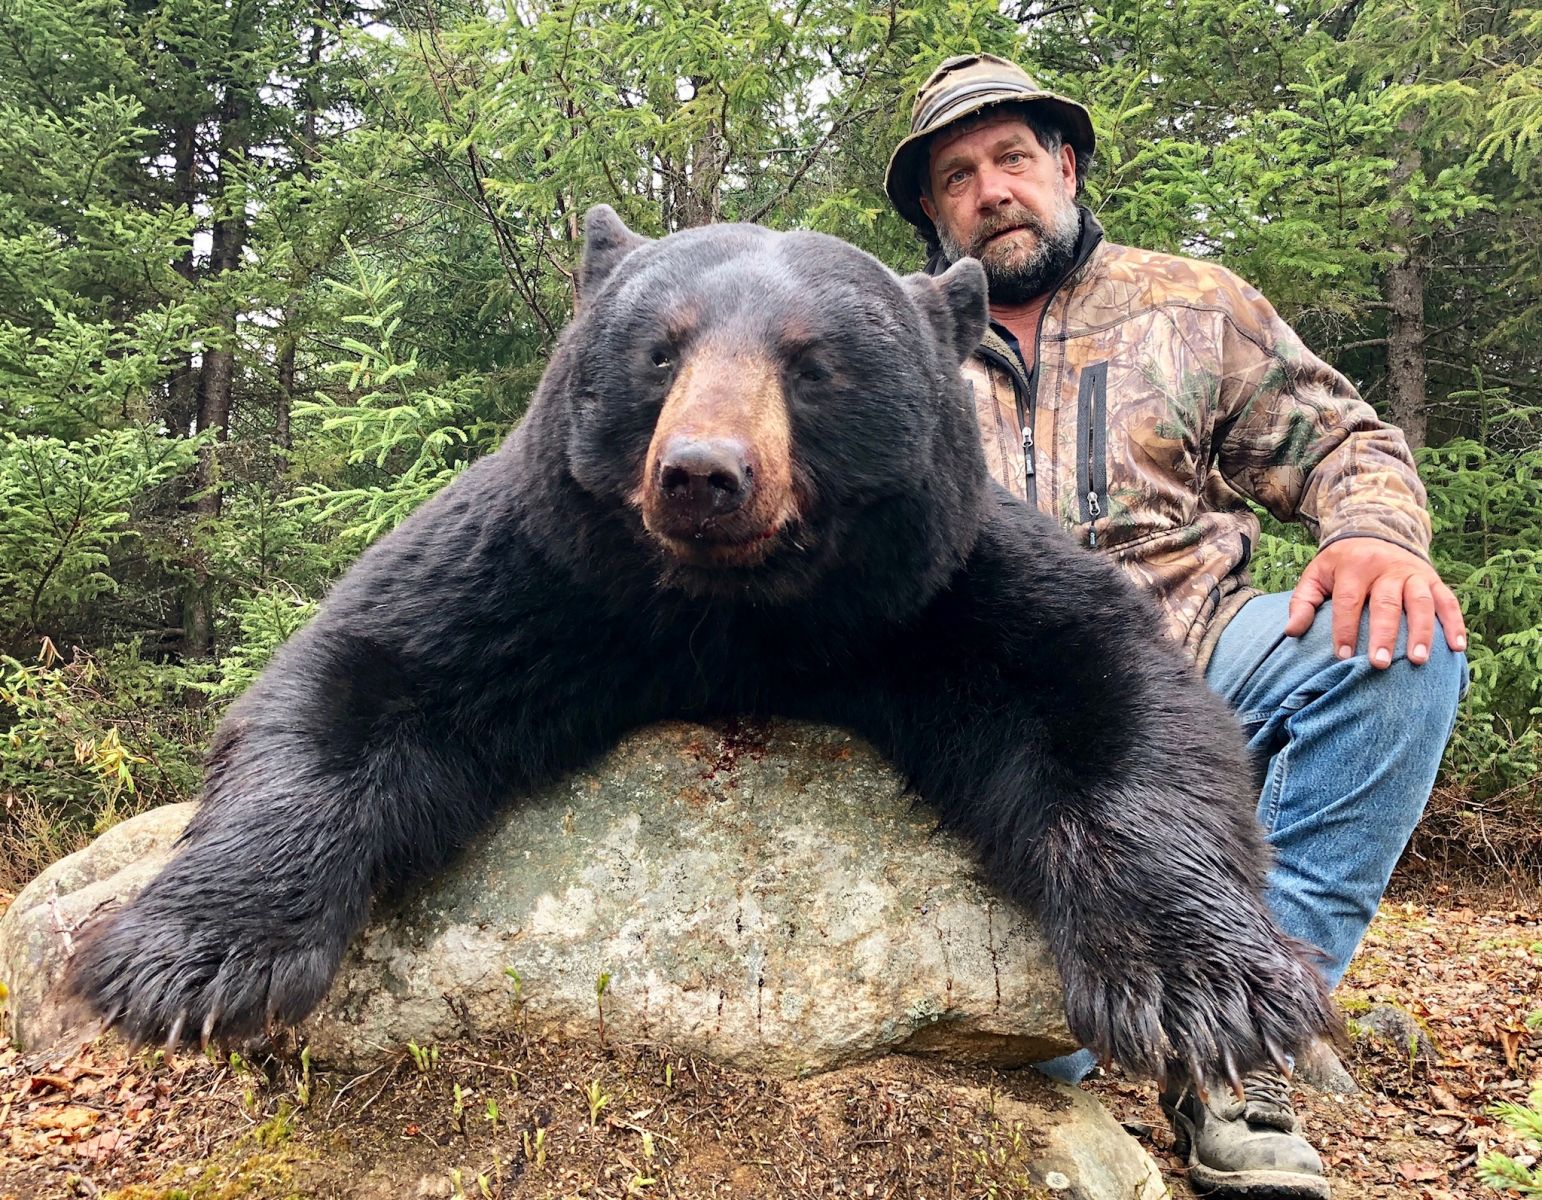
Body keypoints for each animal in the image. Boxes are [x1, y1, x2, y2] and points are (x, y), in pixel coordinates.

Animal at [65, 205, 1337, 1091]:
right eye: (660, 352)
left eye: (813, 362)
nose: (702, 473)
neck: (737, 615)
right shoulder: (538, 571)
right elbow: (361, 680)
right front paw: (185, 963)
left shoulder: (941, 584)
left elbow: (1105, 696)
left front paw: (1209, 991)